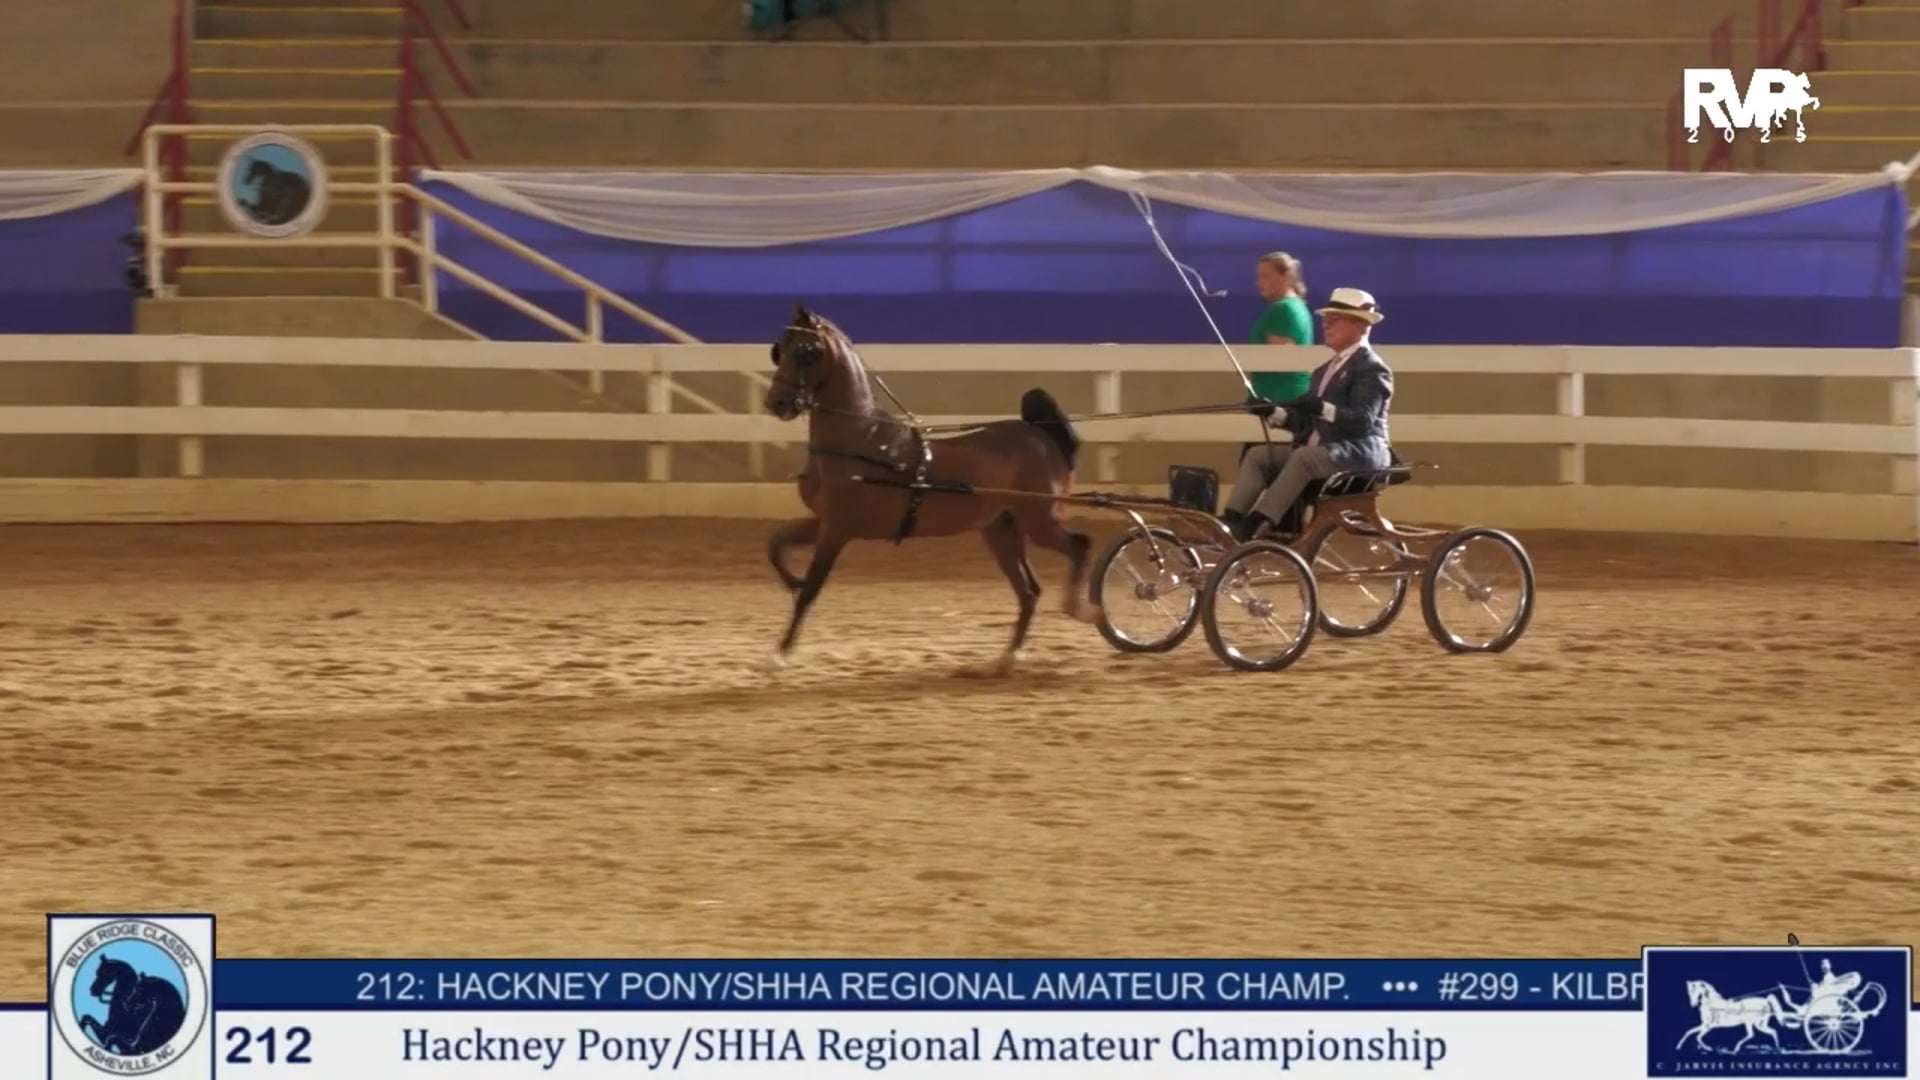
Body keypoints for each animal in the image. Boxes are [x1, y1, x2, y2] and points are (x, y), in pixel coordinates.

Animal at [763, 303, 1102, 672]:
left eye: (805, 351)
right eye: (779, 349)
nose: (775, 403)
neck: (859, 439)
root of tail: (1041, 434)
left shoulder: (838, 528)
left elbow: (812, 587)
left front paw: (781, 652)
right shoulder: (824, 520)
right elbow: (776, 544)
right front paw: (790, 582)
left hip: (1039, 521)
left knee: (1080, 547)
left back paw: (1082, 609)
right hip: (1000, 528)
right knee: (1028, 591)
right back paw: (1006, 658)